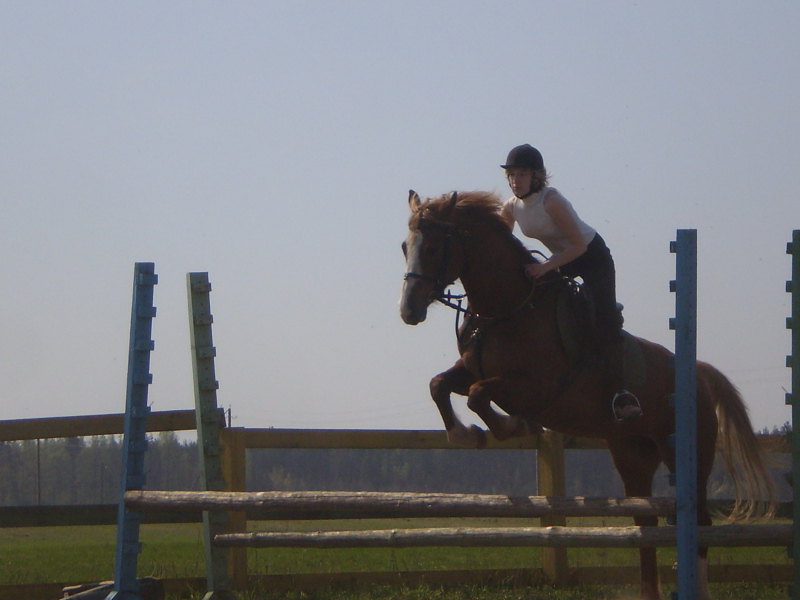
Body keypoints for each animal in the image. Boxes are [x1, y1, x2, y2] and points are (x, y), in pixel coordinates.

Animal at [400, 190, 776, 596]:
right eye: (405, 246)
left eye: (433, 247)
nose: (408, 311)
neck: (507, 308)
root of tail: (699, 373)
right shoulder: (473, 369)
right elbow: (441, 385)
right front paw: (464, 434)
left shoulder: (538, 385)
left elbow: (477, 395)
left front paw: (509, 427)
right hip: (633, 454)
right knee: (645, 524)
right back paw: (649, 591)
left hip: (688, 451)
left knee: (700, 521)